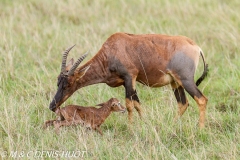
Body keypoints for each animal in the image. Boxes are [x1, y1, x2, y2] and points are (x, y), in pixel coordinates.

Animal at [49, 32, 208, 129]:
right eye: (58, 82)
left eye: (69, 84)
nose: (52, 106)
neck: (112, 50)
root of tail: (196, 47)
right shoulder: (127, 83)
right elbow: (137, 104)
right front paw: (144, 123)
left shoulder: (130, 77)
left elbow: (129, 105)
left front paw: (131, 128)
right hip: (175, 83)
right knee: (183, 104)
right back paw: (172, 125)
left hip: (186, 80)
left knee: (201, 99)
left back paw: (200, 129)